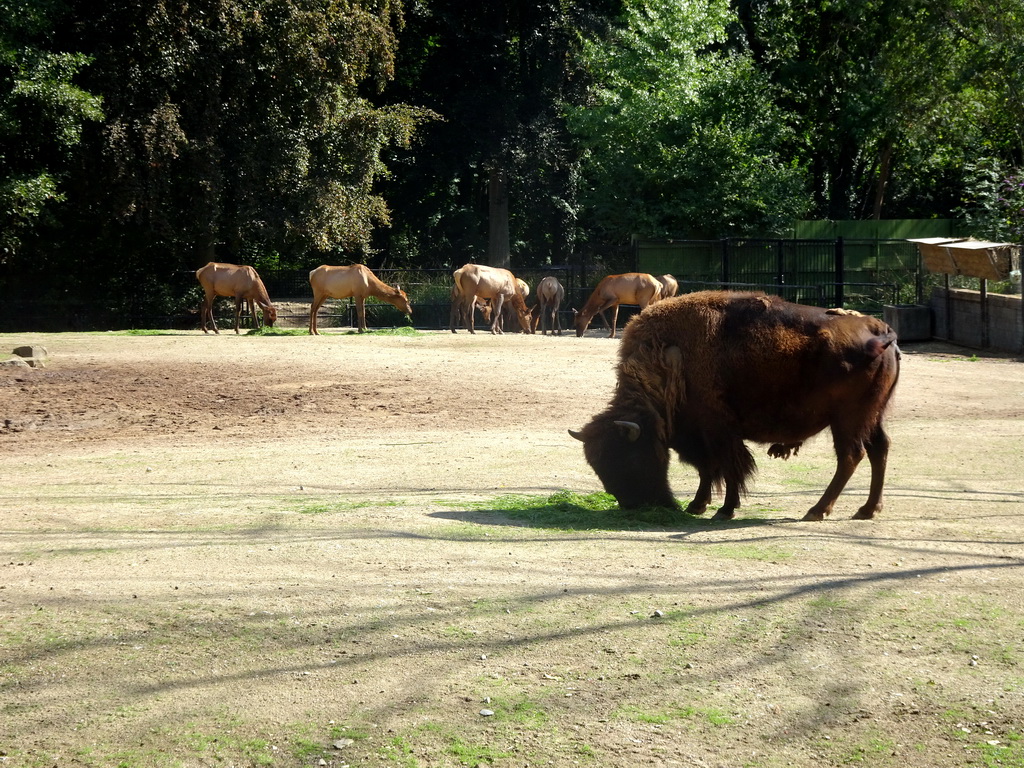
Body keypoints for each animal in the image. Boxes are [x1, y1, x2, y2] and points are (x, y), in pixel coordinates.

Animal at [573, 290, 901, 520]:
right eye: (598, 466)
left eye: (628, 457)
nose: (633, 504)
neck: (668, 358)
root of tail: (882, 331)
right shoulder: (699, 435)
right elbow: (707, 469)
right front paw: (697, 505)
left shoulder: (717, 430)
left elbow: (727, 468)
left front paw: (724, 509)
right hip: (873, 416)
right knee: (879, 449)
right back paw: (867, 509)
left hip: (848, 419)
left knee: (851, 456)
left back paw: (817, 511)